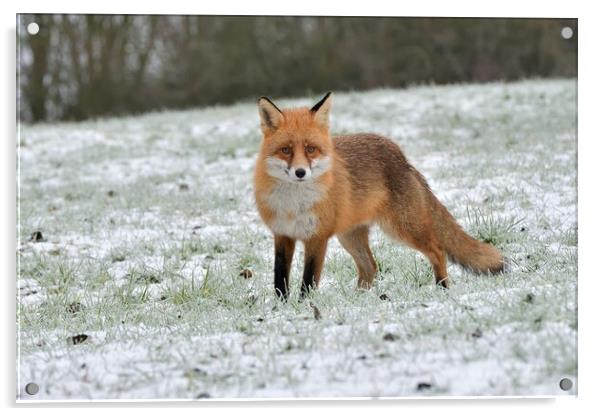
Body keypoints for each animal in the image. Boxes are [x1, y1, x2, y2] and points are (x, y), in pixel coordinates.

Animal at [251, 92, 504, 300]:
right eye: (286, 150)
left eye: (310, 149)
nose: (301, 172)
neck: (293, 205)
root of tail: (402, 157)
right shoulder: (283, 234)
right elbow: (279, 278)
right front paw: (281, 307)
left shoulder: (317, 237)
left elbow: (308, 280)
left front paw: (304, 305)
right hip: (350, 236)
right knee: (370, 267)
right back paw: (357, 300)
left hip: (402, 228)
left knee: (437, 250)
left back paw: (442, 288)